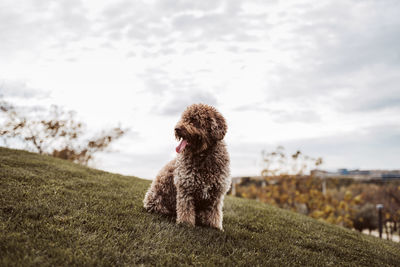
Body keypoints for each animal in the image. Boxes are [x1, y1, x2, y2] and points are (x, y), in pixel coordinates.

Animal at [144, 103, 231, 231]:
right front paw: (186, 224)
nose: (177, 129)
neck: (202, 155)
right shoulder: (186, 188)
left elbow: (214, 213)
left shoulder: (216, 193)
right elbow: (186, 210)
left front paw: (215, 227)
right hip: (157, 200)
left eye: (194, 120)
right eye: (184, 119)